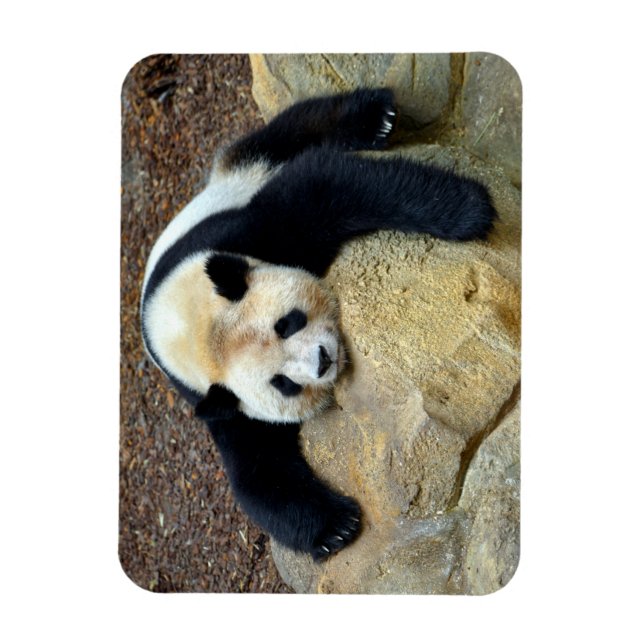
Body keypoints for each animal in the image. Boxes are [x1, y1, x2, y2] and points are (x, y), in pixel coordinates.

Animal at [140, 88, 496, 562]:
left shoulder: (239, 240)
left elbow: (322, 188)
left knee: (288, 135)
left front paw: (468, 210)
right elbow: (257, 474)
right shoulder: (220, 403)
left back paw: (376, 117)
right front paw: (338, 527)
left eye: (286, 323)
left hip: (237, 178)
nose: (323, 361)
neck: (186, 325)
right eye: (283, 384)